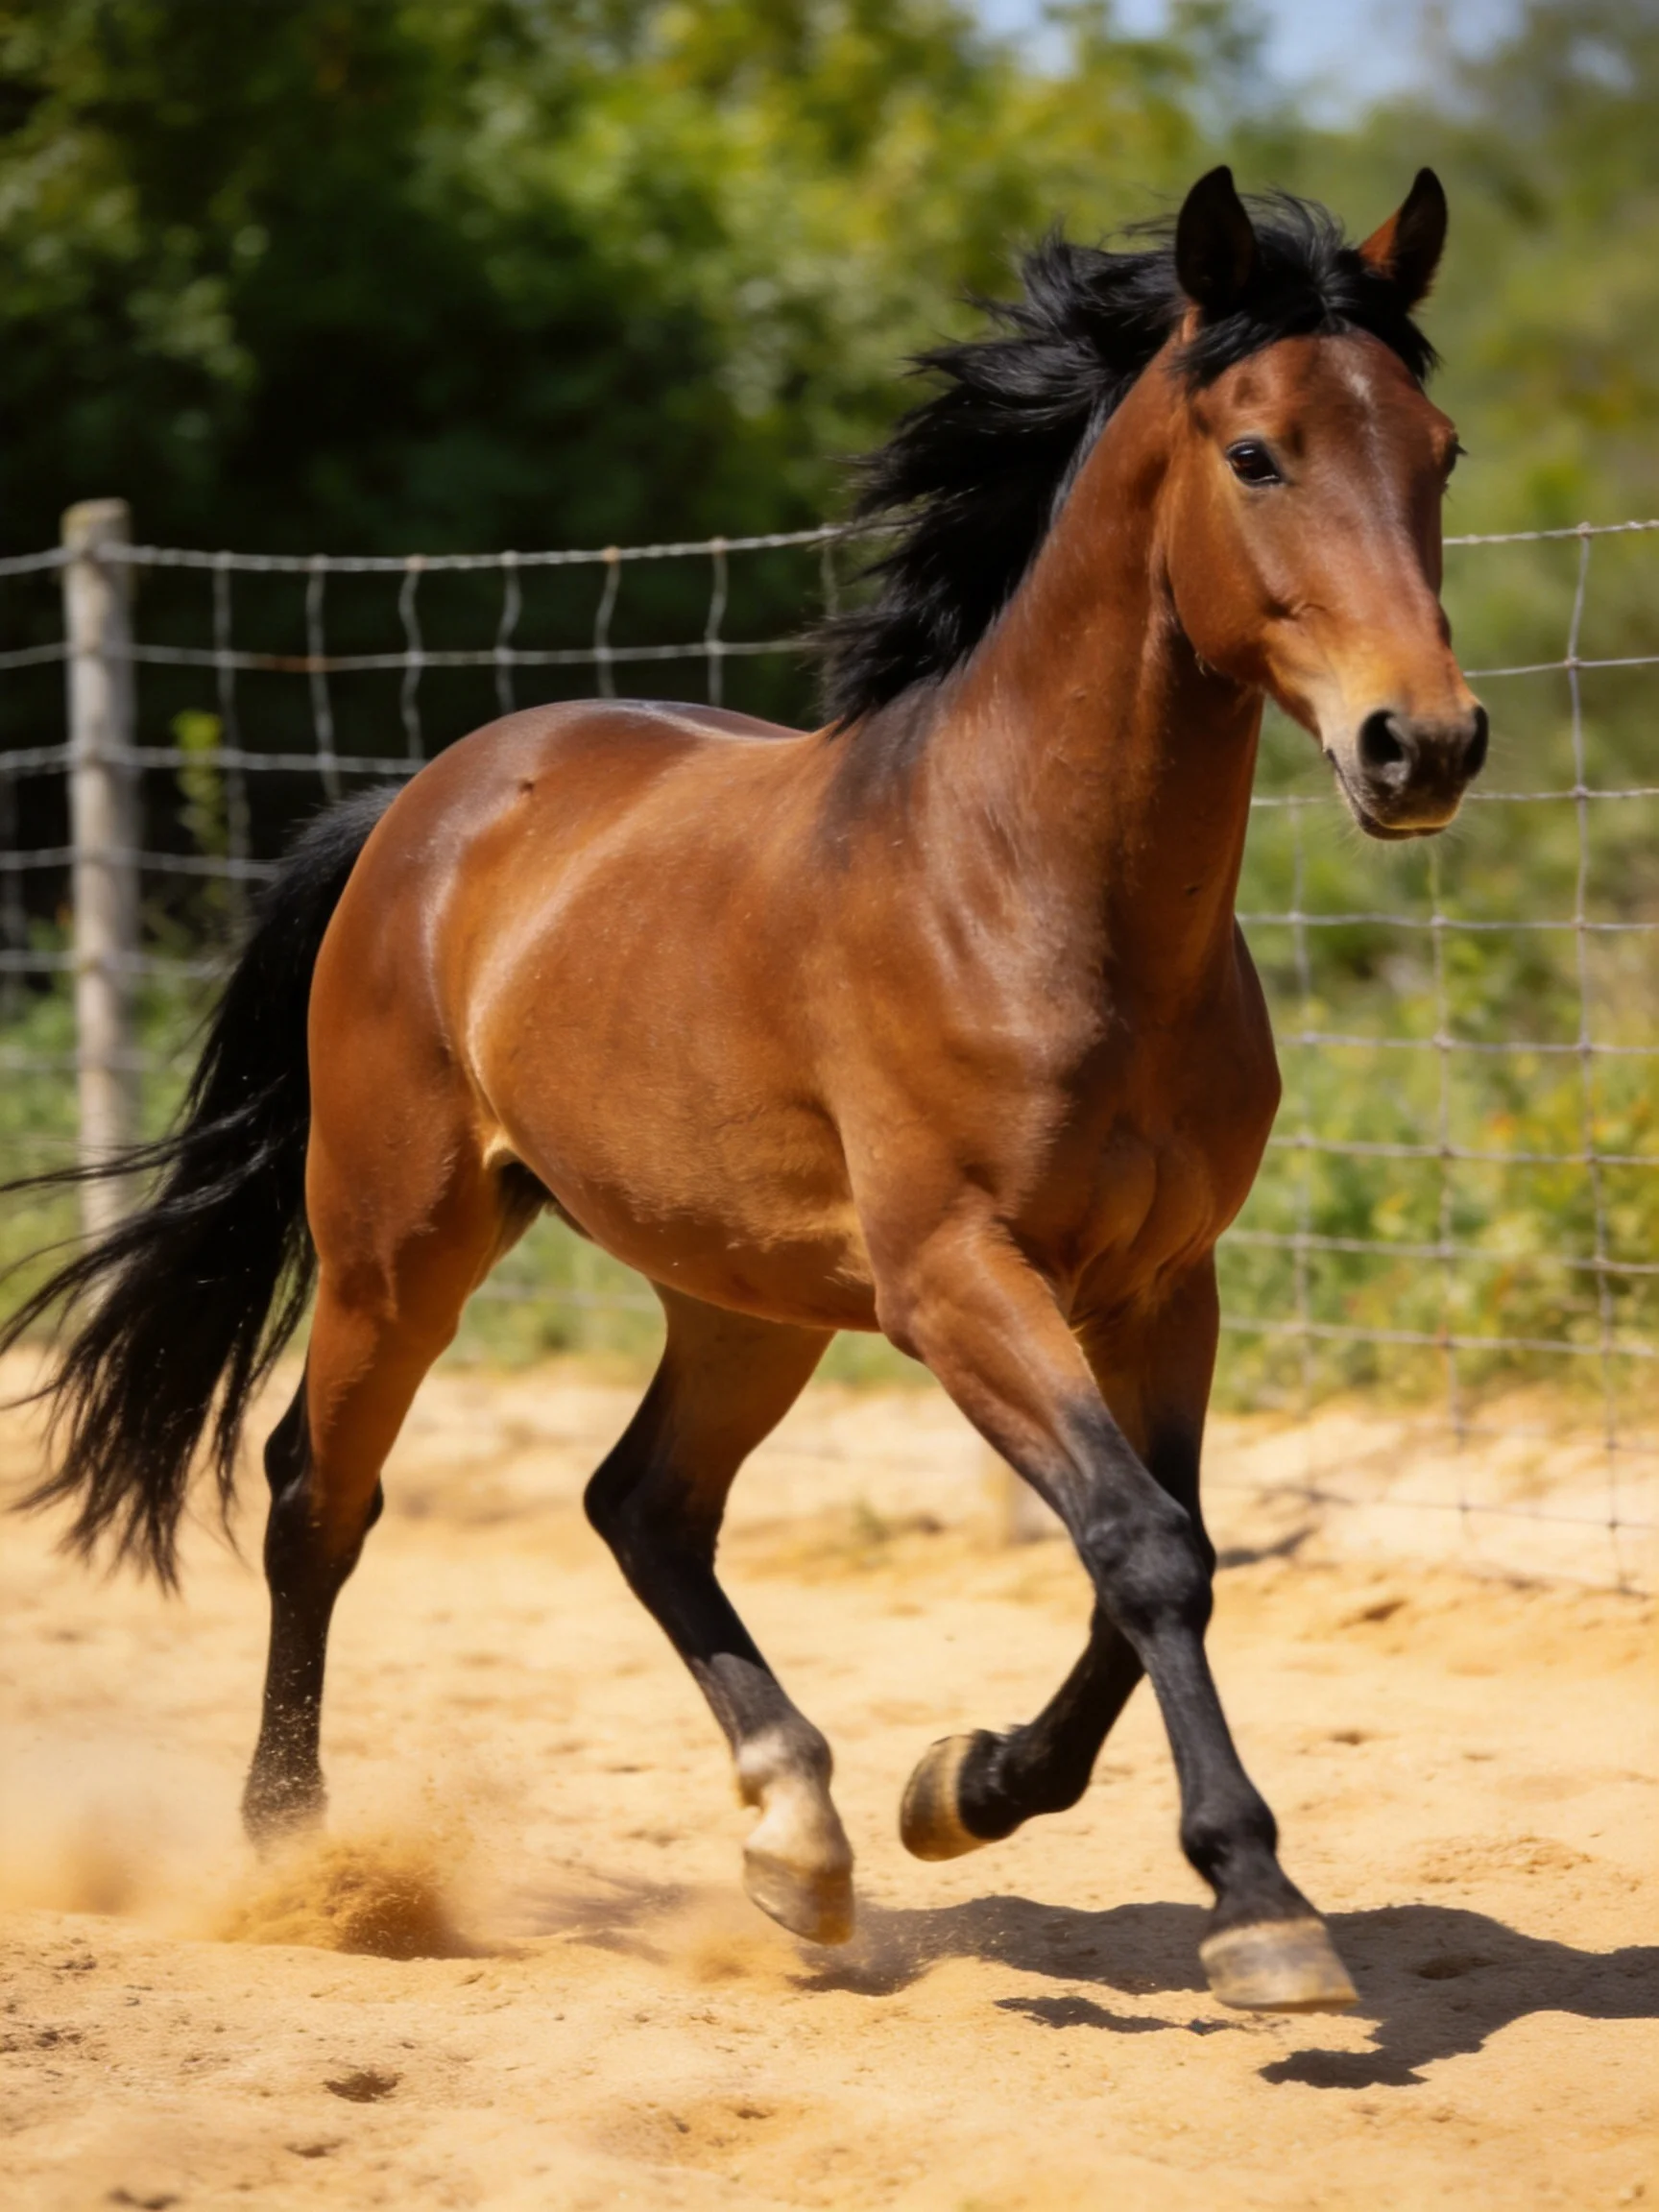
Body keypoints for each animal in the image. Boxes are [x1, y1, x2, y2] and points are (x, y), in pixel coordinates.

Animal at [3, 167, 1485, 2013]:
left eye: (1439, 453)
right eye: (1258, 453)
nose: (1421, 745)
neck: (1030, 893)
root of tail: (421, 804)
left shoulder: (1162, 1286)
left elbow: (1157, 1551)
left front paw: (963, 1788)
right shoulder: (956, 1278)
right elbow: (1141, 1545)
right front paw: (1260, 1906)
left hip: (743, 1296)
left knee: (640, 1502)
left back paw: (801, 1837)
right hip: (400, 1244)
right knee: (314, 1497)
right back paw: (305, 1859)